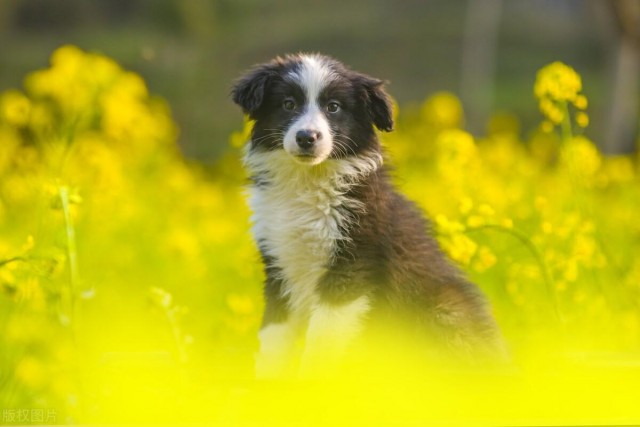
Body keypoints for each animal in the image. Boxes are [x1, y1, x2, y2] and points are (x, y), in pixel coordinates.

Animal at [232, 52, 508, 378]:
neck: (309, 181)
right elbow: (273, 338)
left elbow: (321, 342)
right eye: (288, 104)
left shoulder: (351, 267)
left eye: (333, 107)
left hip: (445, 310)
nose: (306, 137)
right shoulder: (278, 264)